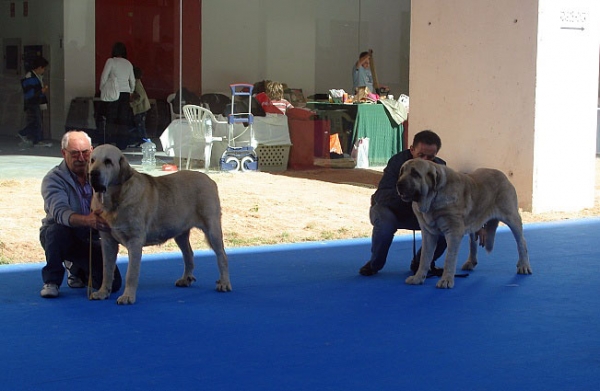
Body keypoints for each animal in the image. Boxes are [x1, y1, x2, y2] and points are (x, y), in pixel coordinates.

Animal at [88, 145, 231, 304]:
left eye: (108, 161)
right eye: (92, 160)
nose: (93, 173)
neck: (114, 199)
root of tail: (210, 180)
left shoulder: (135, 241)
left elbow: (131, 273)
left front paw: (127, 296)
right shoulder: (107, 241)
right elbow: (107, 270)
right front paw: (102, 292)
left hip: (212, 229)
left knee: (222, 256)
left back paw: (224, 283)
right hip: (180, 234)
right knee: (189, 254)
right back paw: (185, 279)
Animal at [396, 158, 532, 290]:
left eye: (415, 173)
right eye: (401, 172)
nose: (398, 184)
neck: (433, 198)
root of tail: (502, 175)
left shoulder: (453, 232)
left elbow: (449, 258)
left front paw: (446, 280)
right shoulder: (428, 234)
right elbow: (424, 258)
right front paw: (418, 278)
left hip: (512, 217)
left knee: (522, 242)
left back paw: (524, 265)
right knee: (473, 242)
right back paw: (471, 262)